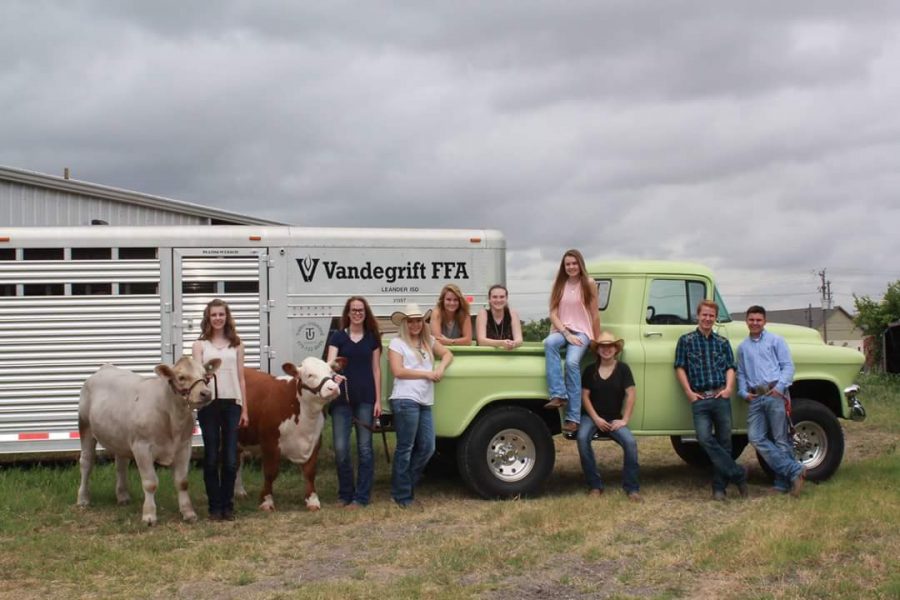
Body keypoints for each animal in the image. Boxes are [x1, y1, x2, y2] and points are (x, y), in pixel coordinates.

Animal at [75, 356, 220, 524]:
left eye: (205, 376)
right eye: (181, 377)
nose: (206, 393)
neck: (172, 418)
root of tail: (106, 367)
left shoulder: (184, 446)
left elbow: (182, 482)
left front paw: (188, 513)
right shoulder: (142, 447)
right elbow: (150, 483)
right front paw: (149, 516)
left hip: (120, 437)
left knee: (121, 465)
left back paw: (123, 496)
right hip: (85, 427)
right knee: (86, 462)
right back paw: (83, 499)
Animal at [236, 356, 344, 510]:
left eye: (331, 372)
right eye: (310, 375)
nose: (333, 388)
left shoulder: (315, 441)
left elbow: (310, 472)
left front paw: (312, 500)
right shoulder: (270, 442)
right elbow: (270, 472)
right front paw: (267, 501)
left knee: (238, 461)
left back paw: (239, 492)